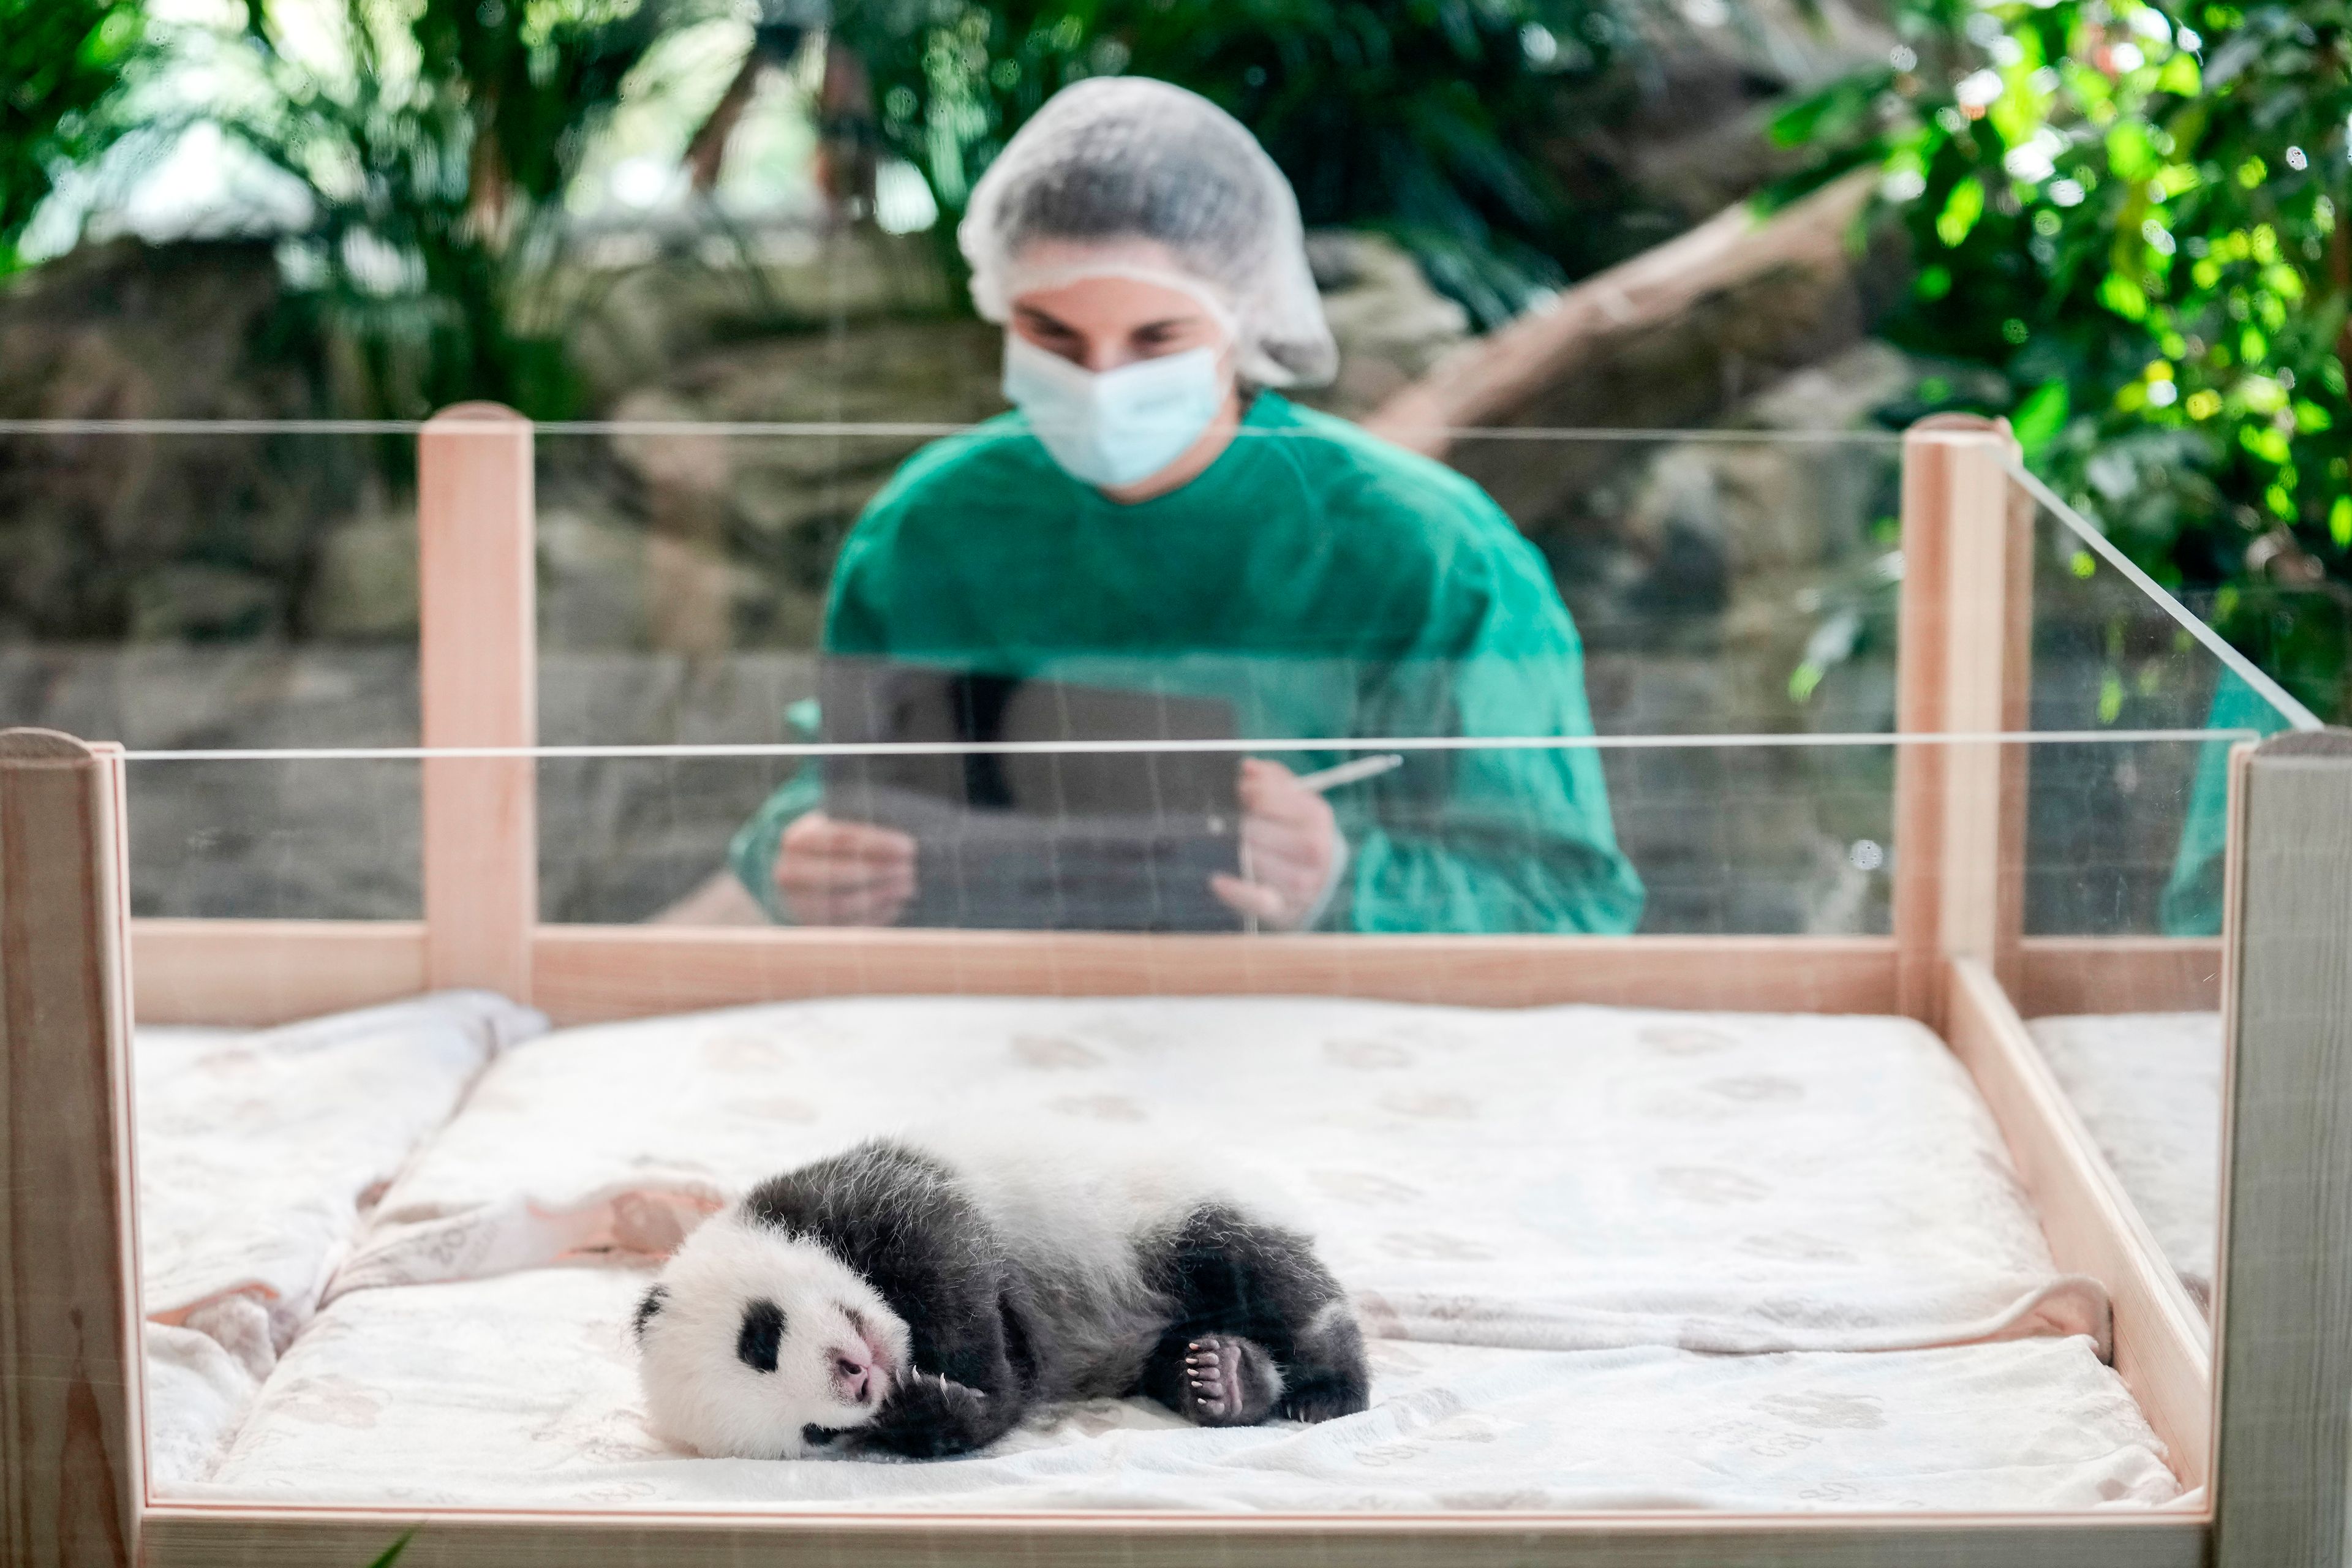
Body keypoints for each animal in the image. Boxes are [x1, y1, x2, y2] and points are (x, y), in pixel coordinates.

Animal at [635, 1133, 1373, 1466]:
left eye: (760, 1338)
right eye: (816, 1432)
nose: (860, 1378)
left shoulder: (864, 1194)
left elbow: (950, 1260)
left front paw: (958, 1375)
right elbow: (1011, 1390)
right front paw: (926, 1403)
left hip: (1168, 1214)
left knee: (1266, 1276)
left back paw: (1328, 1389)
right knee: (1179, 1357)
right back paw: (1222, 1379)